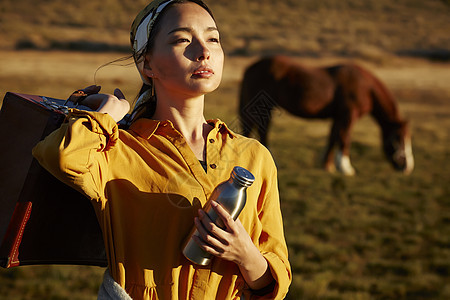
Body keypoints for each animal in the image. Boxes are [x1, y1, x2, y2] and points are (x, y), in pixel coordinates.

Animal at [239, 55, 414, 176]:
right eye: (398, 138)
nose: (407, 167)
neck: (364, 86)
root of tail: (250, 67)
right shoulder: (348, 116)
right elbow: (345, 138)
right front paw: (346, 168)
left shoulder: (338, 118)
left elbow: (333, 138)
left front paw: (328, 166)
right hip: (263, 107)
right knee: (262, 130)